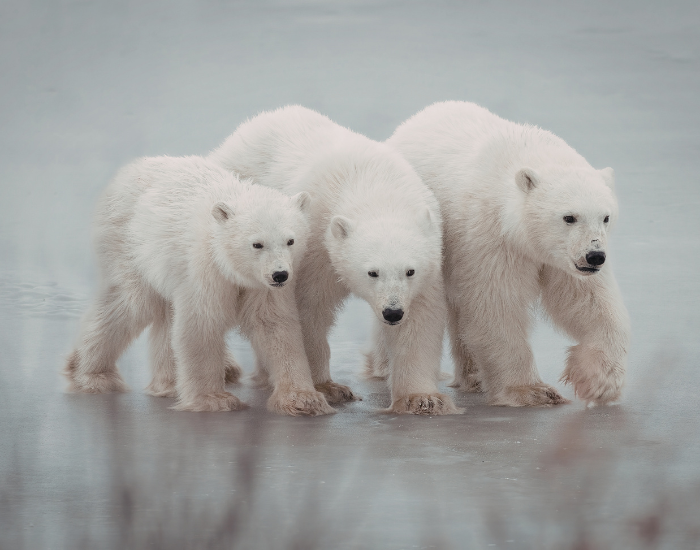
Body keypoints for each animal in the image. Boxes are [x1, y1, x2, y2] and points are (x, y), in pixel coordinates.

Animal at [64, 154, 336, 415]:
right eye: (257, 244)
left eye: (291, 240)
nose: (280, 274)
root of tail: (126, 172)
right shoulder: (205, 269)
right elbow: (202, 323)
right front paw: (215, 399)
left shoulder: (261, 287)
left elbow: (274, 325)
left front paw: (304, 399)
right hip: (128, 245)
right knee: (132, 304)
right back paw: (91, 375)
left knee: (165, 315)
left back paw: (168, 384)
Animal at [209, 106, 461, 415]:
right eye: (372, 272)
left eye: (410, 271)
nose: (392, 312)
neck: (372, 185)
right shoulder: (315, 246)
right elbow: (309, 309)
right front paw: (327, 387)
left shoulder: (428, 264)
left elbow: (420, 319)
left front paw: (422, 398)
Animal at [387, 101, 630, 406]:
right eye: (569, 217)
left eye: (606, 217)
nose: (595, 256)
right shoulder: (489, 238)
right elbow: (495, 306)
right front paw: (531, 390)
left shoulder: (562, 261)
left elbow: (588, 302)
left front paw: (599, 381)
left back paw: (473, 376)